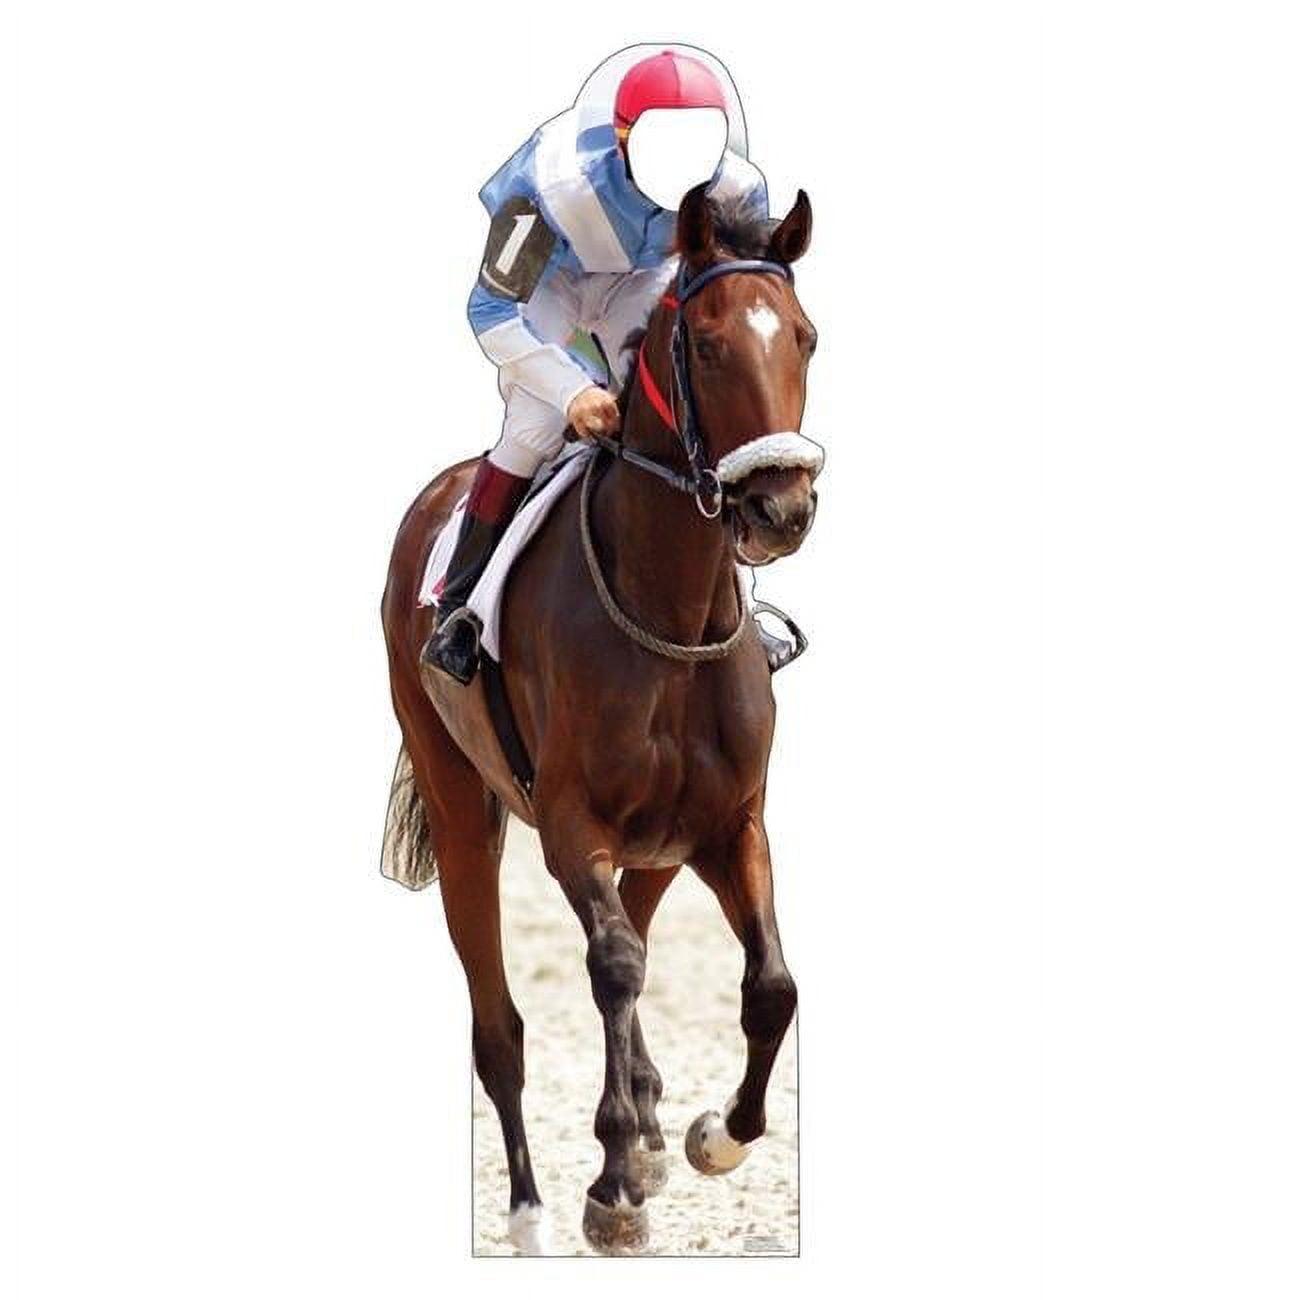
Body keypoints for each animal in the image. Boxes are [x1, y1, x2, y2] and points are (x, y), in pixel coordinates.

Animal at [381, 183, 821, 1254]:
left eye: (805, 336)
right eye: (705, 343)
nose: (781, 510)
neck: (670, 614)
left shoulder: (731, 823)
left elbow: (772, 985)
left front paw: (712, 1136)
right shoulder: (570, 827)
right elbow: (612, 965)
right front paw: (614, 1183)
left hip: (660, 844)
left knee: (644, 927)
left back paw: (656, 1123)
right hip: (462, 813)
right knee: (500, 1025)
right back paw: (532, 1210)